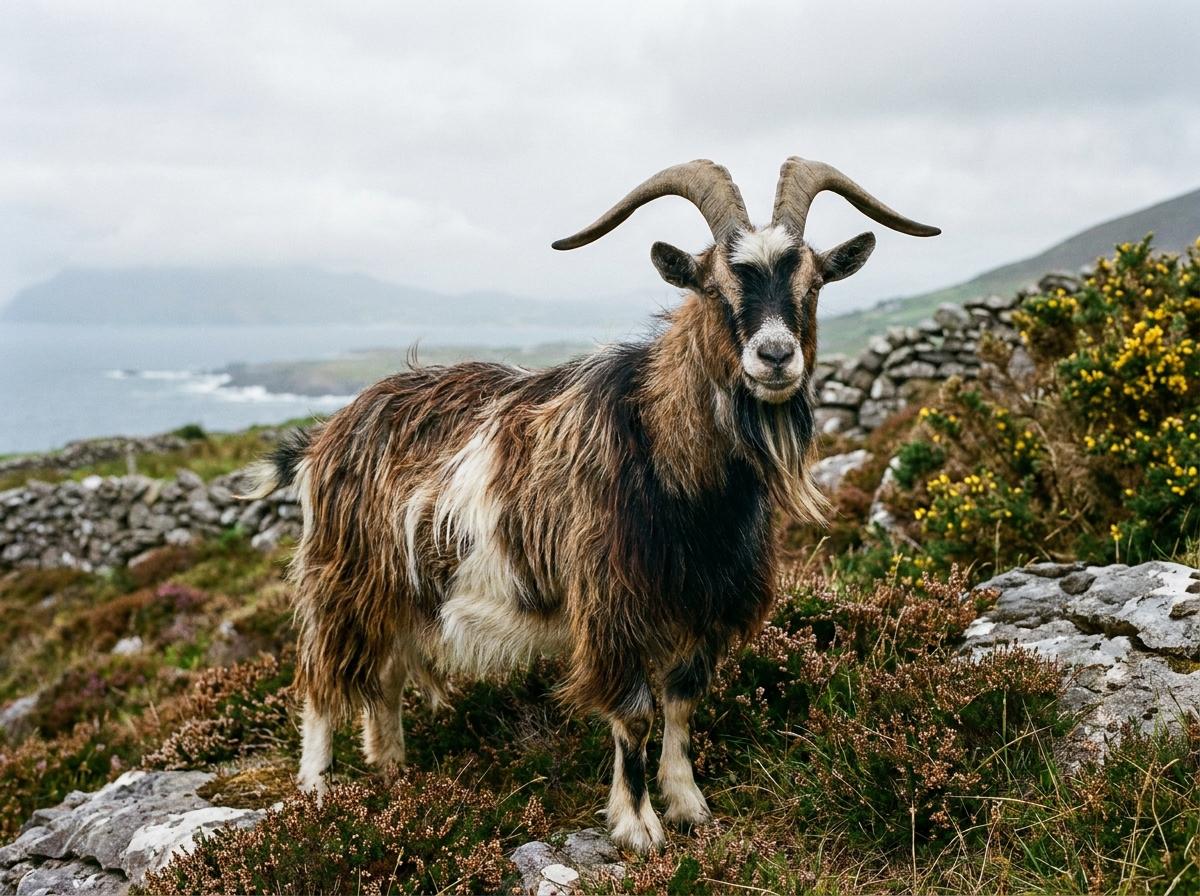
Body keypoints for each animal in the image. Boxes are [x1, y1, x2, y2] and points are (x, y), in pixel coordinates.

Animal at [245, 157, 939, 853]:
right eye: (714, 287)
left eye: (814, 282)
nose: (774, 357)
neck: (671, 461)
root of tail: (325, 435)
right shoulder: (613, 603)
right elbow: (634, 715)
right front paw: (638, 828)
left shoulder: (703, 603)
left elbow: (682, 702)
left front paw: (688, 804)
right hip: (342, 576)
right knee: (320, 679)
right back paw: (318, 791)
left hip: (401, 590)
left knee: (384, 677)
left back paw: (391, 770)